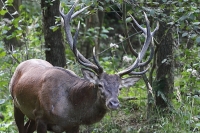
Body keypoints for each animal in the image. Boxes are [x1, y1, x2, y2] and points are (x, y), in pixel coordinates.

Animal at [9, 0, 159, 132]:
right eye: (100, 85)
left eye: (120, 88)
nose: (114, 103)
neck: (69, 110)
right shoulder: (40, 117)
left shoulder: (73, 125)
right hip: (17, 104)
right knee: (21, 128)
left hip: (31, 116)